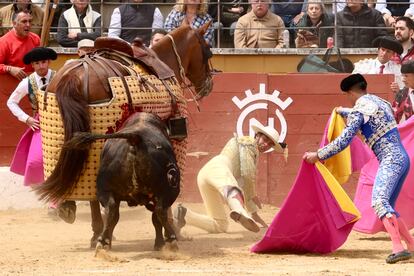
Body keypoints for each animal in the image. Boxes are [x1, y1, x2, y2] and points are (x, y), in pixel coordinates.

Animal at [64, 111, 180, 250]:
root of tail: (135, 137)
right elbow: (156, 218)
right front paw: (160, 243)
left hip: (105, 189)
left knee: (111, 210)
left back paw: (103, 242)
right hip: (169, 190)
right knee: (160, 210)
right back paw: (172, 239)